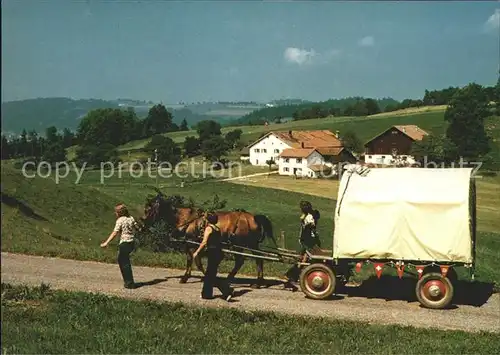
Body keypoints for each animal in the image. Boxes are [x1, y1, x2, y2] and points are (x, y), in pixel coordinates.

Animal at [139, 193, 276, 288]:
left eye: (148, 209)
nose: (142, 225)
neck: (187, 219)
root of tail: (253, 218)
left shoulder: (192, 244)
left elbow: (195, 261)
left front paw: (198, 278)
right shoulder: (192, 245)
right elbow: (191, 260)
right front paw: (186, 277)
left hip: (240, 244)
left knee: (242, 261)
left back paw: (232, 279)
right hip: (251, 244)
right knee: (258, 260)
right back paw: (257, 282)